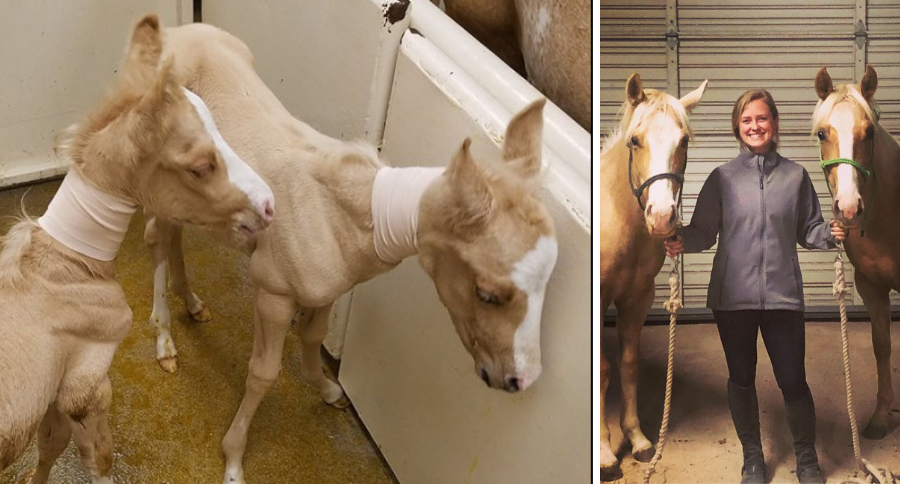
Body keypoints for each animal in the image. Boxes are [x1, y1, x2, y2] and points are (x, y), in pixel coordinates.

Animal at [0, 14, 274, 482]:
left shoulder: (57, 392)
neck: (68, 266)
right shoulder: (87, 386)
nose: (270, 205)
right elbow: (98, 458)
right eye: (200, 166)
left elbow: (49, 445)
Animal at [151, 22, 558, 484]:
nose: (520, 379)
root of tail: (176, 32)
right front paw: (234, 459)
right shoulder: (273, 291)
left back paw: (192, 303)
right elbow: (262, 372)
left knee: (173, 233)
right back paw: (165, 342)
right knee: (158, 236)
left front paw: (329, 390)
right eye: (487, 292)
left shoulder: (327, 289)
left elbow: (313, 337)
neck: (338, 214)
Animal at [597, 73, 707, 480]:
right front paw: (605, 454)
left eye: (684, 140)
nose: (661, 216)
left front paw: (639, 440)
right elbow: (603, 369)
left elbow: (629, 364)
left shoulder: (637, 297)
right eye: (635, 140)